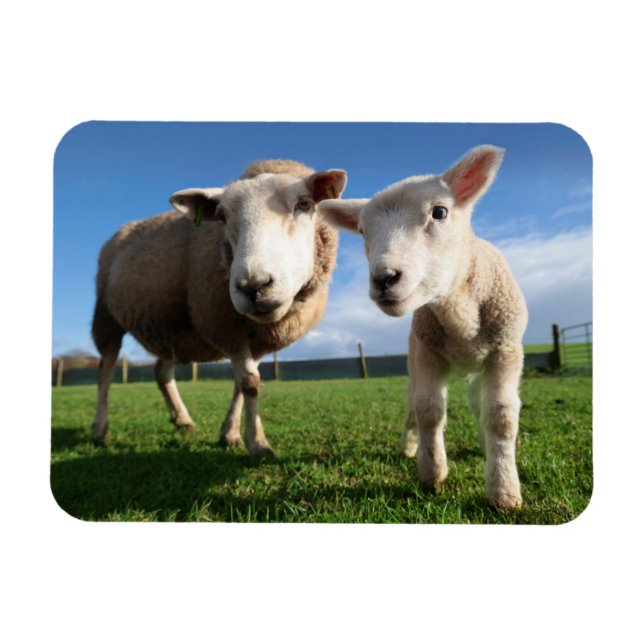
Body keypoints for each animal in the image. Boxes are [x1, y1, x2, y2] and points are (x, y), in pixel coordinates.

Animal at [91, 159, 347, 456]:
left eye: (304, 204)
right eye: (222, 216)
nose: (254, 286)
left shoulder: (257, 339)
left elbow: (242, 383)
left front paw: (231, 433)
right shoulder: (226, 328)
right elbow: (250, 384)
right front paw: (258, 444)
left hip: (174, 328)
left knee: (161, 371)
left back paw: (183, 421)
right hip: (106, 316)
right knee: (105, 372)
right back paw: (100, 429)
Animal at [318, 146, 528, 509]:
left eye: (440, 212)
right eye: (362, 231)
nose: (384, 279)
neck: (459, 313)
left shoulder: (506, 352)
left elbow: (501, 416)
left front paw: (504, 491)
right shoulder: (428, 354)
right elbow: (428, 410)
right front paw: (432, 473)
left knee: (478, 402)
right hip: (414, 358)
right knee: (412, 405)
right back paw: (408, 446)